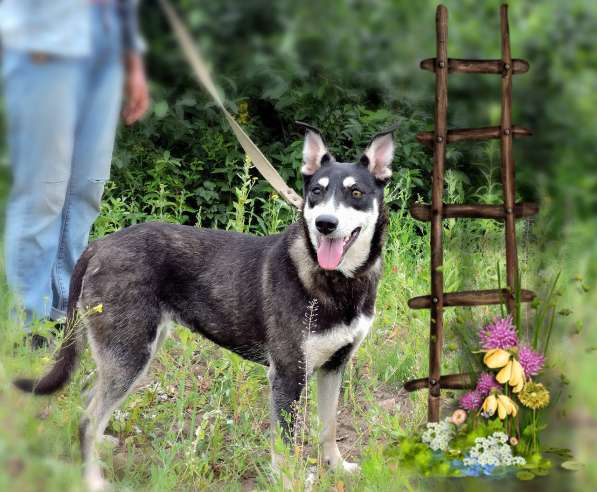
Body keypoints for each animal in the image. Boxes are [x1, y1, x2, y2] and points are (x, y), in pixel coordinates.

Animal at [14, 124, 396, 492]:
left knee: (89, 397)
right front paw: (290, 483)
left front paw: (337, 467)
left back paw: (102, 444)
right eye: (316, 191)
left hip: (129, 351)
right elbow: (286, 447)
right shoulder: (288, 375)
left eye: (356, 193)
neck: (337, 282)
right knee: (87, 417)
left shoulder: (334, 366)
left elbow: (328, 426)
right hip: (130, 353)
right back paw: (92, 478)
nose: (325, 224)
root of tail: (98, 245)